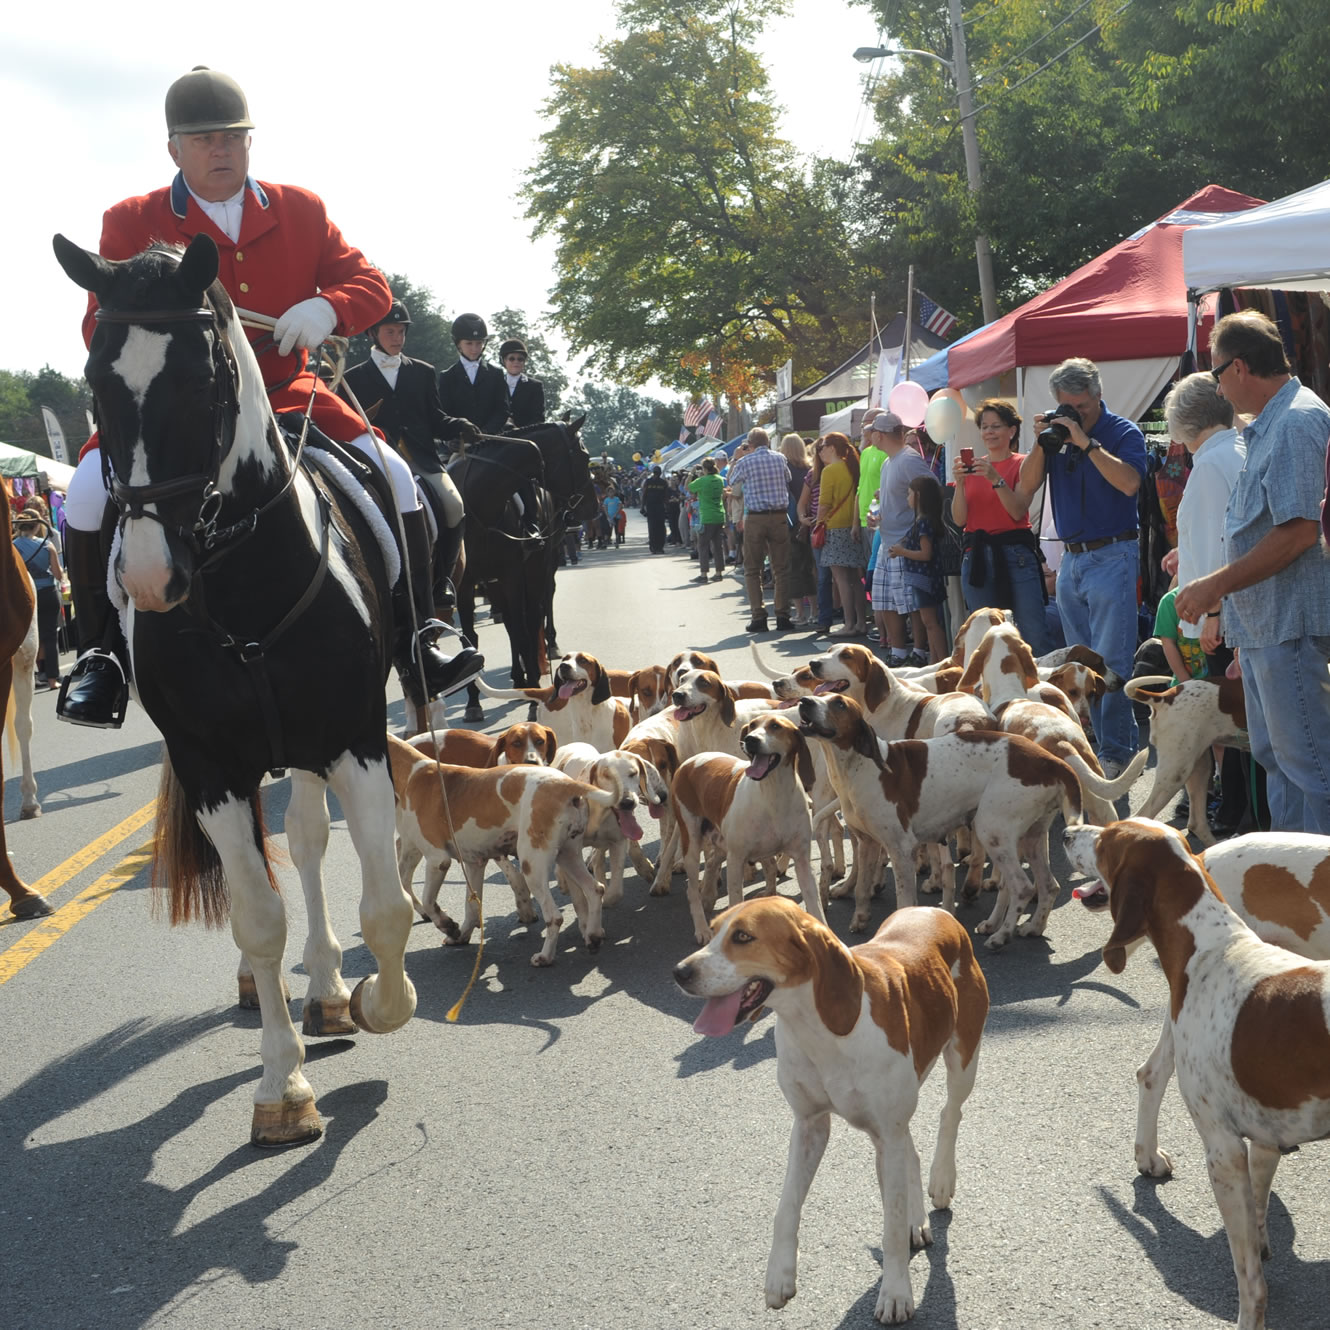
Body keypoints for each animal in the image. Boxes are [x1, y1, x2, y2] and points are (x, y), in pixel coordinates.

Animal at [51, 234, 414, 1149]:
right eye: (96, 380)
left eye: (202, 378)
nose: (150, 577)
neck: (241, 582)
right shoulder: (210, 765)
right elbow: (258, 919)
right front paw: (282, 1088)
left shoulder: (355, 740)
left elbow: (385, 904)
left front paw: (376, 999)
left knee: (312, 844)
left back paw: (329, 989)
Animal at [446, 420, 593, 723]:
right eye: (584, 457)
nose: (593, 506)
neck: (480, 504)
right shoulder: (467, 583)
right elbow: (472, 640)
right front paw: (473, 703)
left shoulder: (513, 575)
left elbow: (525, 632)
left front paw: (534, 697)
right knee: (514, 625)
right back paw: (518, 678)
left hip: (537, 570)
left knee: (534, 616)